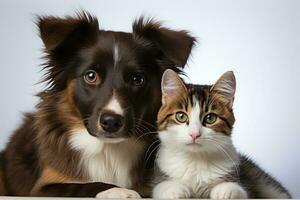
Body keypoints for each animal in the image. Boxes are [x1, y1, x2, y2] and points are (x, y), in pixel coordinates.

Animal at [0, 11, 195, 198]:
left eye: (137, 79)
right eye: (91, 76)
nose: (111, 122)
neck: (108, 150)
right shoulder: (42, 188)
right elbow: (80, 186)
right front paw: (117, 190)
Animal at [152, 69, 290, 198]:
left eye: (210, 118)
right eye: (181, 116)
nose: (195, 134)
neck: (196, 159)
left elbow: (243, 191)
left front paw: (226, 190)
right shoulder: (159, 172)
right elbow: (158, 187)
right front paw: (173, 190)